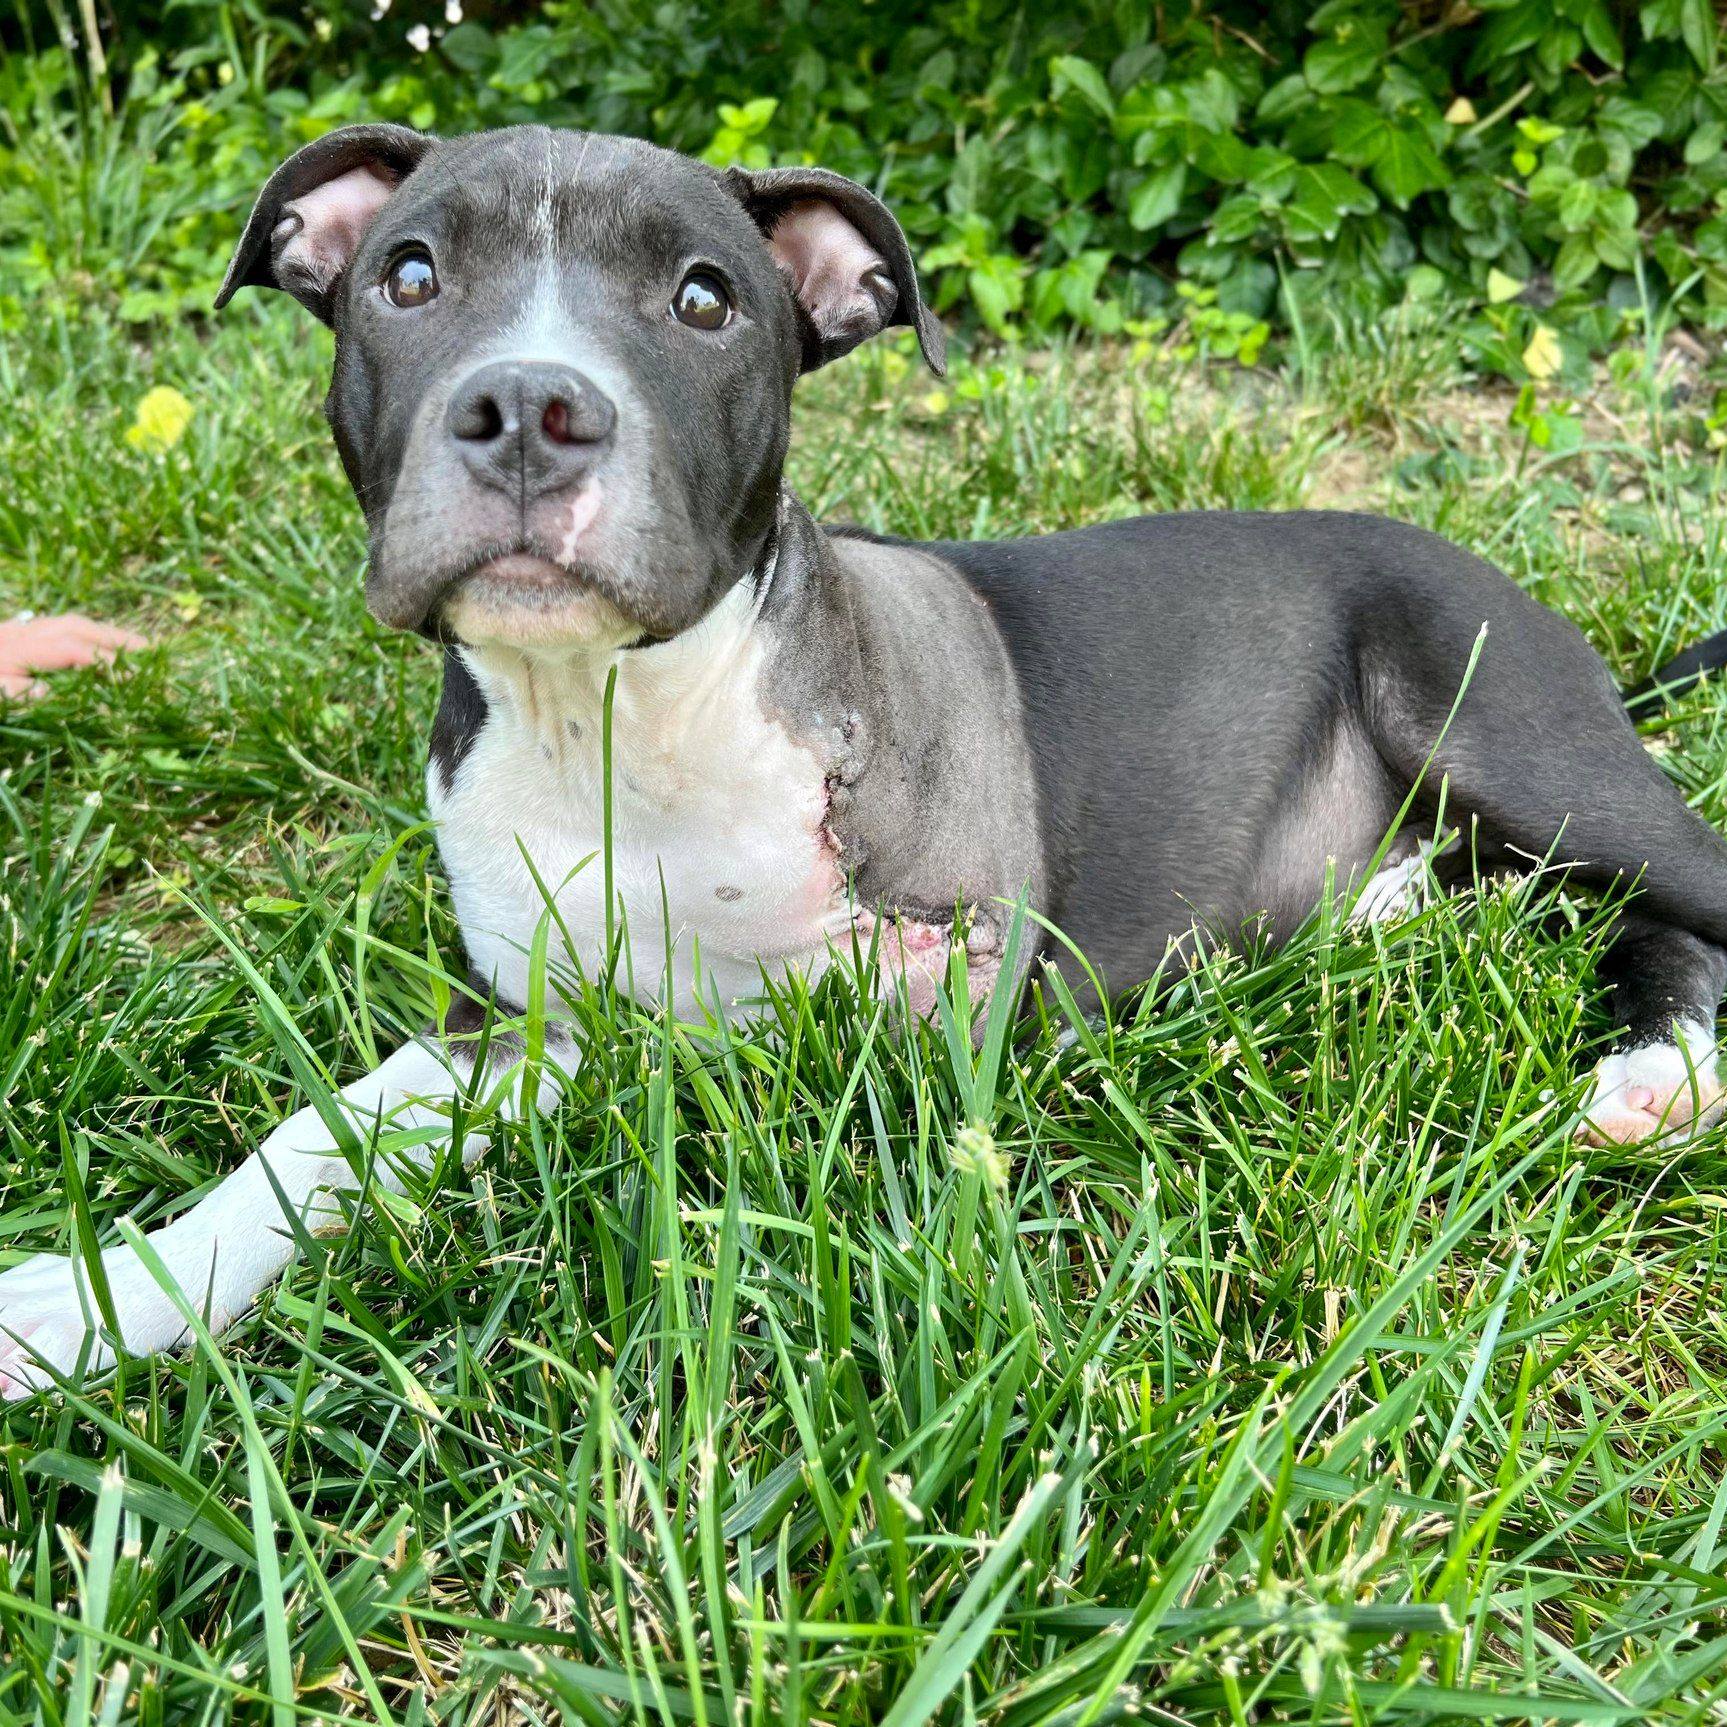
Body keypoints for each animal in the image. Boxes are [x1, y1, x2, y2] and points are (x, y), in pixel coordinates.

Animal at [3, 121, 1727, 1395]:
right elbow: (318, 1133)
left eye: (705, 300)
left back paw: (1653, 1074)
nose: (528, 407)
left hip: (1495, 721)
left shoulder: (946, 986)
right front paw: (90, 1299)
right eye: (407, 274)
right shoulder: (516, 1019)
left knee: (1682, 898)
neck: (619, 722)